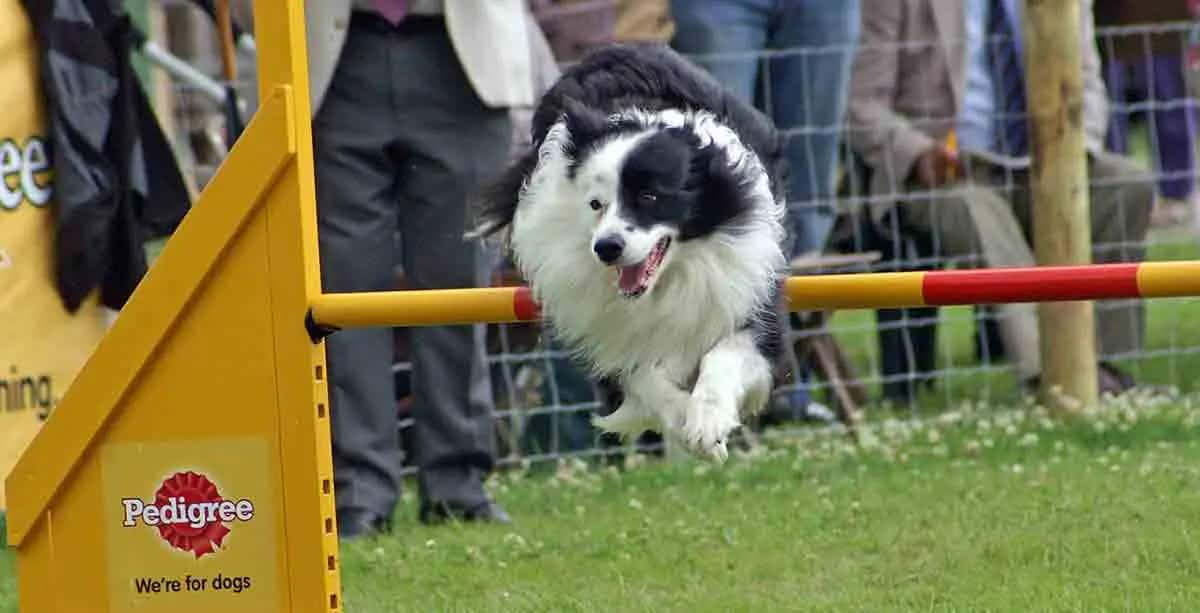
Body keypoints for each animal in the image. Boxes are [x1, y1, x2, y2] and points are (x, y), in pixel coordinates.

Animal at [472, 43, 792, 463]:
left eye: (649, 197)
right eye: (595, 204)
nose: (606, 248)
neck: (670, 279)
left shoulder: (748, 292)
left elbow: (727, 353)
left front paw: (707, 424)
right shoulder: (604, 325)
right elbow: (639, 374)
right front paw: (684, 421)